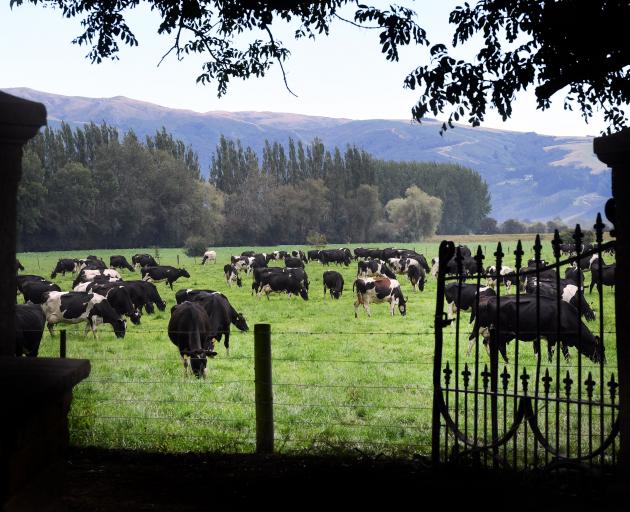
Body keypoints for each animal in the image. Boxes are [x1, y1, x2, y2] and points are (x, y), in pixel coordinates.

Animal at [472, 294, 604, 362]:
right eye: (600, 348)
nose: (604, 362)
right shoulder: (552, 337)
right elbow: (551, 351)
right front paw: (550, 362)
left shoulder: (561, 338)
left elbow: (565, 351)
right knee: (499, 346)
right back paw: (507, 361)